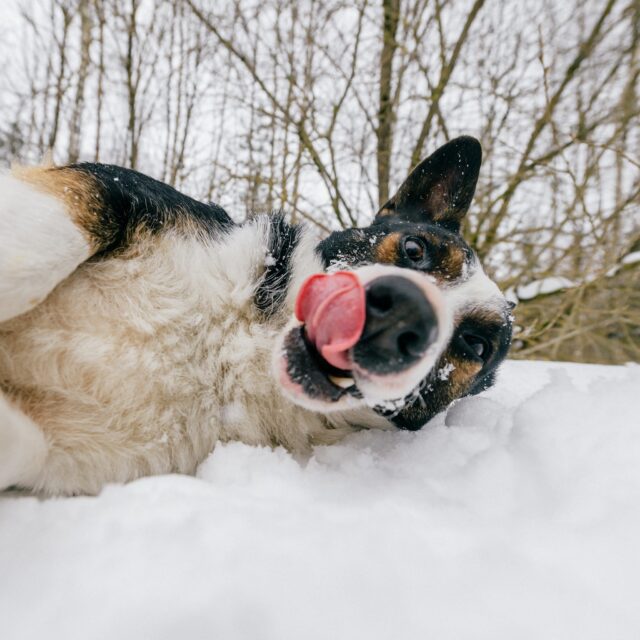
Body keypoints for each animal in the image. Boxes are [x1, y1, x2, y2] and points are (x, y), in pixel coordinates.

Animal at [0, 135, 510, 496]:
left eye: (475, 344)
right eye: (415, 249)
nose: (403, 314)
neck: (238, 351)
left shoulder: (60, 454)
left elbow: (19, 442)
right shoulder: (105, 189)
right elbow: (35, 257)